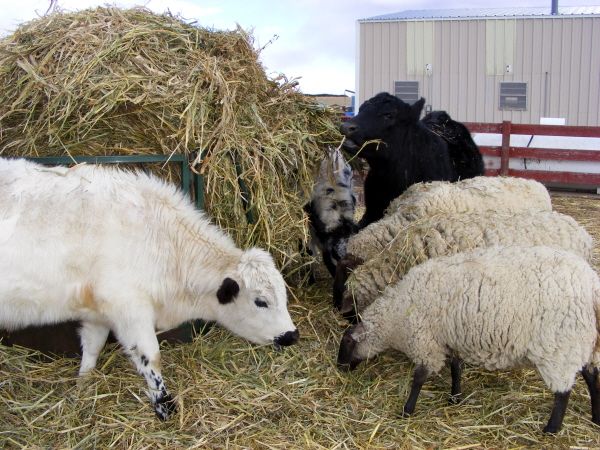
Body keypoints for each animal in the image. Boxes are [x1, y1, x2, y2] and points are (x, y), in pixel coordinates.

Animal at [0, 157, 300, 418]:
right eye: (261, 301)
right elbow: (151, 357)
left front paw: (83, 387)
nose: (291, 335)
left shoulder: (98, 312)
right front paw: (164, 406)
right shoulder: (130, 308)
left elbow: (92, 349)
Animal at [338, 244, 600, 434]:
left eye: (347, 343)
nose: (340, 368)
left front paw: (407, 410)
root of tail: (592, 285)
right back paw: (596, 416)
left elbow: (419, 378)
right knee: (591, 374)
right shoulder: (451, 338)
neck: (397, 315)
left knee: (563, 391)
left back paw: (552, 429)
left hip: (558, 346)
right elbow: (456, 368)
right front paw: (455, 397)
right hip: (584, 342)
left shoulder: (426, 342)